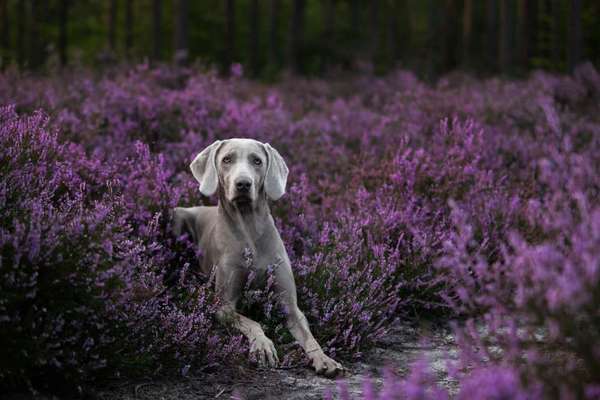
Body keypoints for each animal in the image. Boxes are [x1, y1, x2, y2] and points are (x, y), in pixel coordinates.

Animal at [173, 139, 342, 376]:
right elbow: (253, 322)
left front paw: (324, 358)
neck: (249, 229)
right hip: (177, 216)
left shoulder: (291, 306)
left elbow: (309, 337)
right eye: (227, 159)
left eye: (257, 161)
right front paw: (263, 346)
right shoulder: (224, 307)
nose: (243, 184)